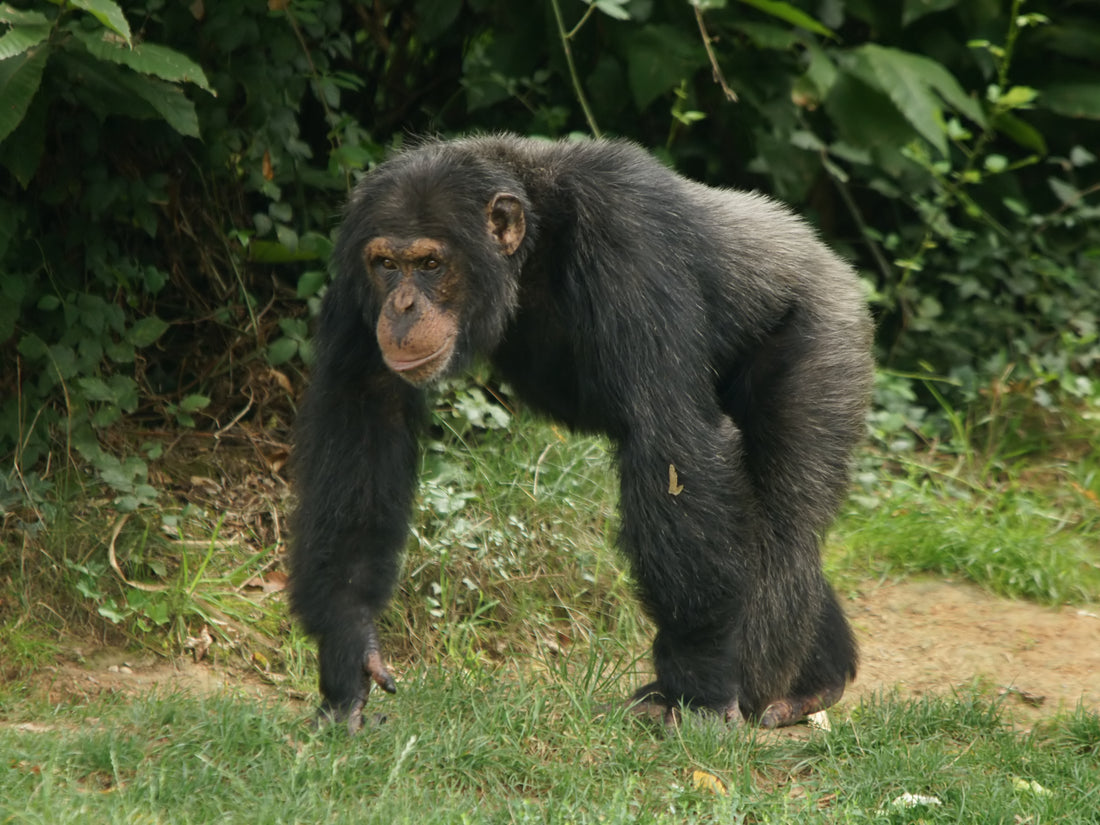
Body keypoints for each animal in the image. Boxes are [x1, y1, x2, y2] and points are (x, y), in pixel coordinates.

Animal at [288, 134, 874, 733]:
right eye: (386, 264)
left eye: (430, 263)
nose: (403, 306)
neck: (534, 245)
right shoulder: (354, 279)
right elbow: (364, 418)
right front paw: (349, 650)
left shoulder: (630, 240)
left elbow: (669, 440)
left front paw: (702, 687)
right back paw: (815, 678)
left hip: (823, 339)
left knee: (784, 519)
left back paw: (764, 688)